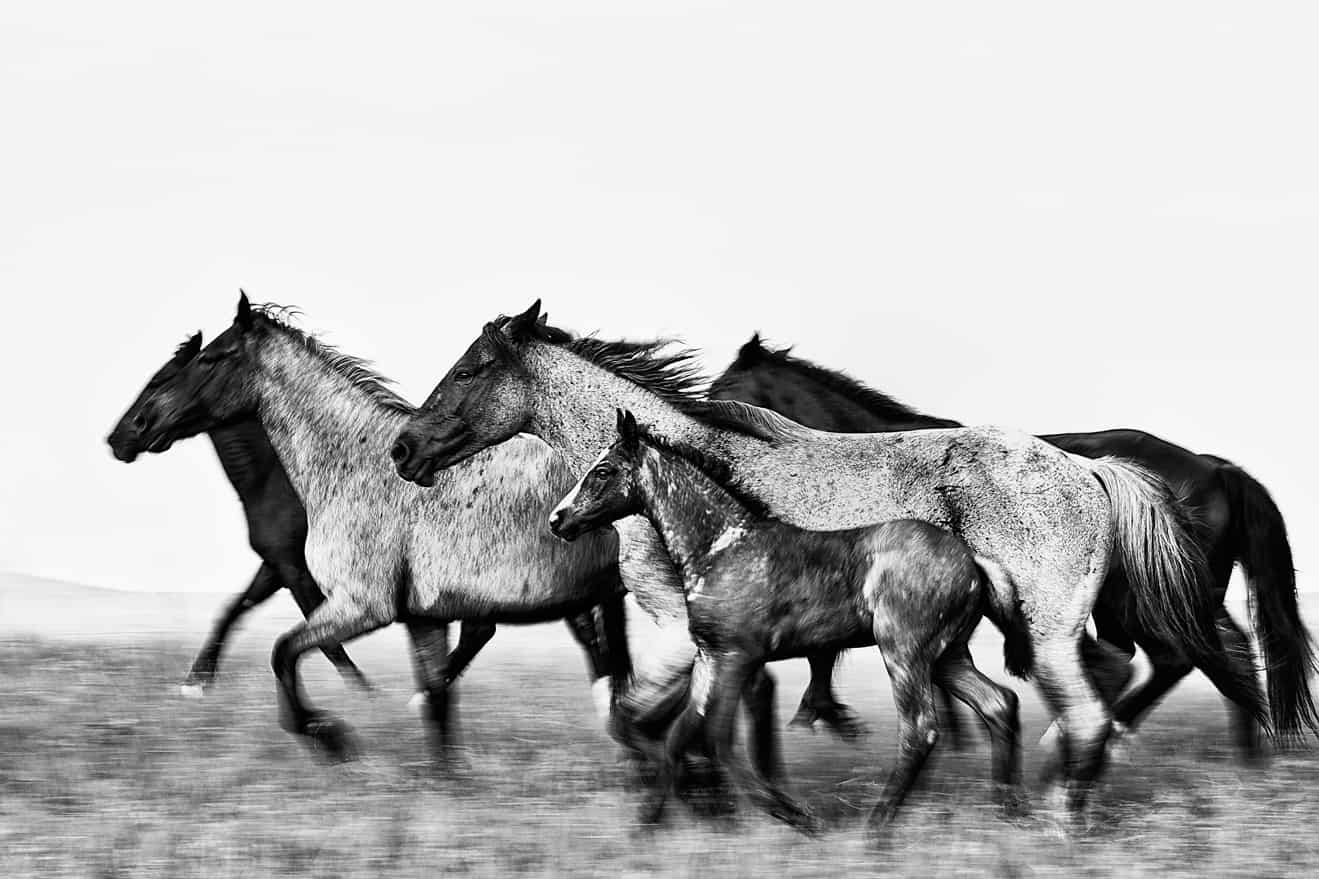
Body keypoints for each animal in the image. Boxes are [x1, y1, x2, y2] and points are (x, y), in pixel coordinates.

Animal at [123, 293, 631, 762]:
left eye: (211, 358)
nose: (129, 432)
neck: (356, 464)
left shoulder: (361, 604)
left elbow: (285, 650)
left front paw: (330, 735)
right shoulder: (421, 615)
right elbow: (437, 702)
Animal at [550, 409, 1025, 837]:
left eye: (603, 470)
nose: (558, 519)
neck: (721, 548)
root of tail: (973, 561)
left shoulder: (737, 657)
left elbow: (717, 738)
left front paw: (796, 816)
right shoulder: (709, 657)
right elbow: (682, 735)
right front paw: (646, 825)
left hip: (904, 651)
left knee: (921, 728)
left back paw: (877, 828)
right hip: (947, 656)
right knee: (998, 702)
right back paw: (1007, 811)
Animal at [709, 333, 1318, 752]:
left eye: (721, 390)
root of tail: (1214, 468)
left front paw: (828, 717)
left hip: (1145, 598)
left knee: (1178, 658)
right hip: (1182, 594)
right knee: (1224, 651)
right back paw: (1242, 751)